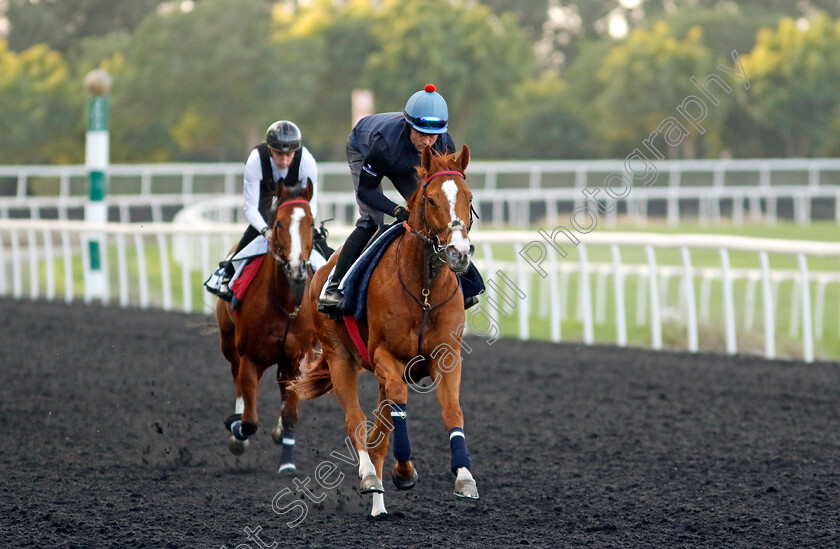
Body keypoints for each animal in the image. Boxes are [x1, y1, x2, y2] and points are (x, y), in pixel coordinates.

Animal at [218, 182, 316, 474]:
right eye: (279, 224)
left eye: (311, 222)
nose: (296, 268)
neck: (284, 302)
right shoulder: (251, 358)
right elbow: (249, 421)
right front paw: (237, 431)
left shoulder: (295, 358)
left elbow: (291, 414)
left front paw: (287, 463)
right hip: (229, 343)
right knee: (237, 378)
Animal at [296, 144, 480, 512]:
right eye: (431, 200)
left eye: (468, 198)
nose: (459, 252)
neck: (423, 290)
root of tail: (322, 269)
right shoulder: (385, 355)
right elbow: (397, 402)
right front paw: (405, 470)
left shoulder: (447, 356)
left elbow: (452, 410)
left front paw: (464, 477)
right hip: (339, 356)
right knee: (356, 423)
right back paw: (370, 477)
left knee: (377, 435)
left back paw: (378, 504)